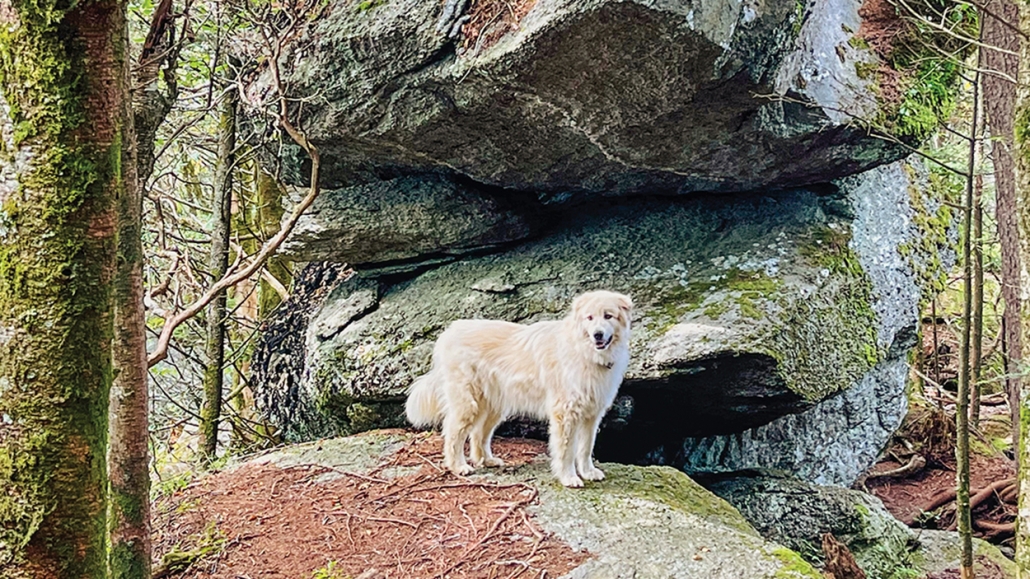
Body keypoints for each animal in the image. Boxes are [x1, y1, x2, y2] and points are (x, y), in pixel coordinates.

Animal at [403, 290, 630, 484]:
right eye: (589, 318)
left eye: (608, 316)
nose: (598, 335)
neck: (583, 351)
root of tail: (448, 332)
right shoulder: (565, 414)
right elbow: (566, 451)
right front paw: (569, 478)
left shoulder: (591, 415)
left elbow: (585, 448)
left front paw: (588, 472)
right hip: (468, 404)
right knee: (453, 435)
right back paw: (459, 466)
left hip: (493, 407)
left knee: (478, 435)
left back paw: (487, 460)